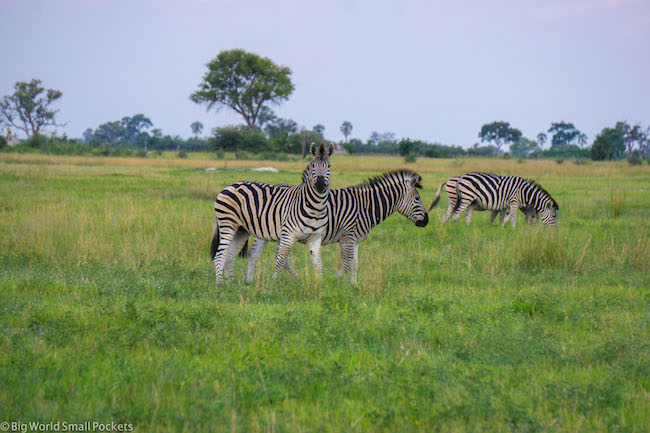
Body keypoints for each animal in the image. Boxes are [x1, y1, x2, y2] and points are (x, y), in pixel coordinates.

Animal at [210, 143, 334, 284]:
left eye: (329, 166)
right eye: (313, 165)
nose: (320, 184)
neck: (315, 207)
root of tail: (227, 187)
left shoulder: (315, 238)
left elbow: (318, 264)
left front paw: (319, 284)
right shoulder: (288, 235)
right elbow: (280, 260)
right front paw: (273, 282)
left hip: (241, 230)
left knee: (230, 256)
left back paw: (231, 284)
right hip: (228, 224)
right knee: (220, 255)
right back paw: (220, 283)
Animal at [240, 169, 428, 284]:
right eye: (417, 199)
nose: (426, 221)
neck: (366, 206)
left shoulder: (355, 240)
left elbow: (354, 264)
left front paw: (354, 285)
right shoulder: (348, 236)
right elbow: (346, 263)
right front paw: (334, 281)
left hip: (266, 232)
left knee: (256, 253)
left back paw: (250, 281)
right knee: (278, 257)